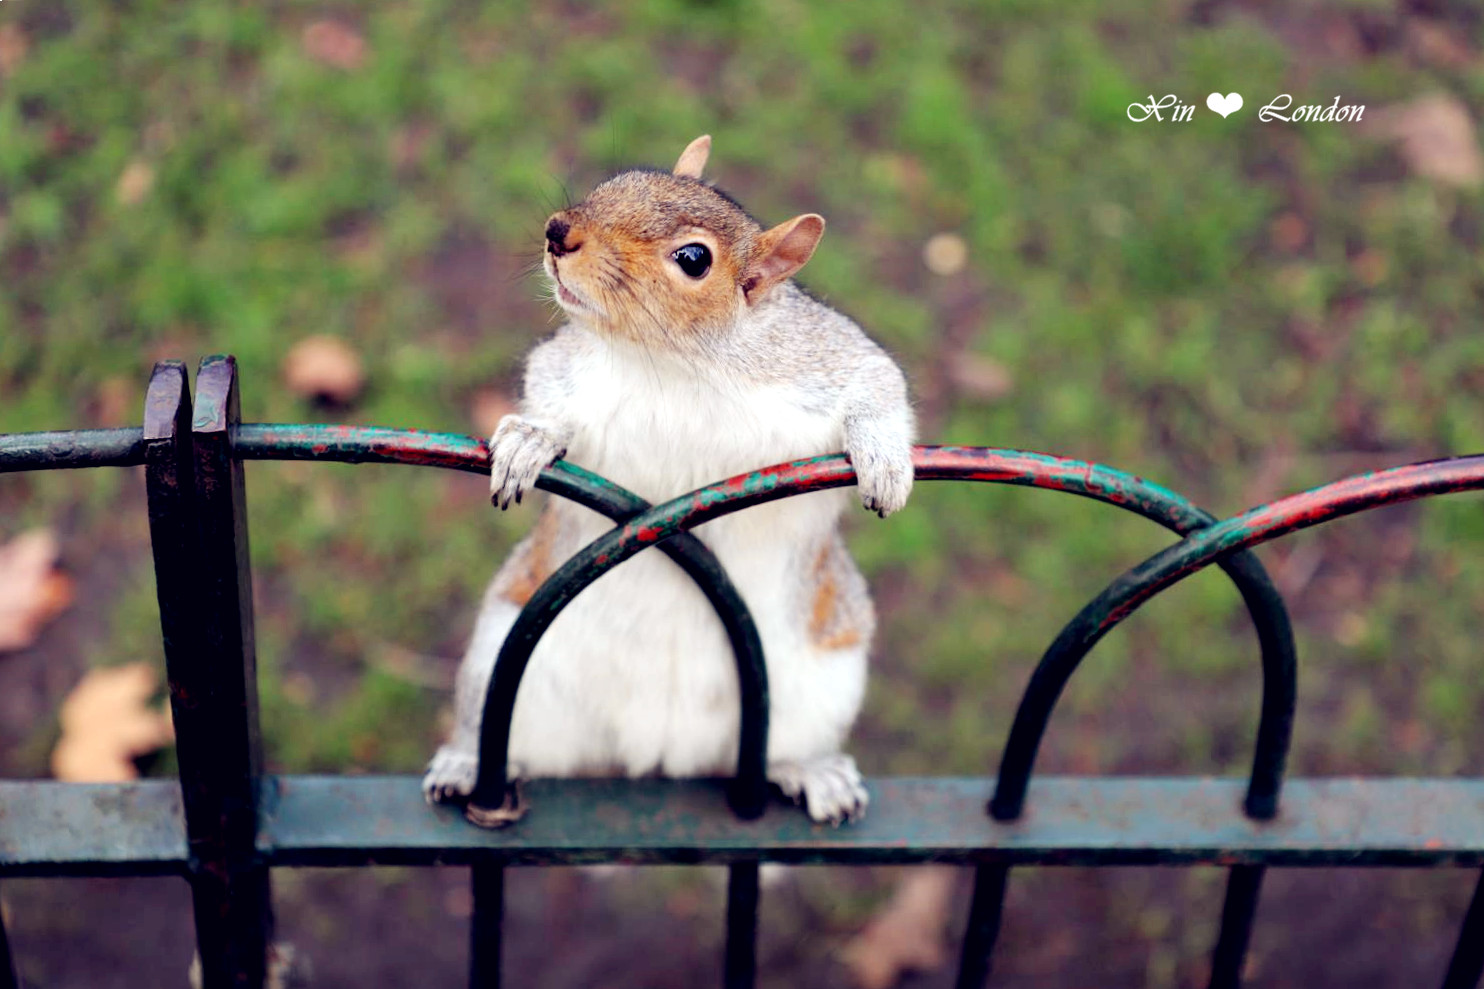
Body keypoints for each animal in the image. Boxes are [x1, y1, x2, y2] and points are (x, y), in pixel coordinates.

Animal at [418, 135, 920, 819]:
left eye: (694, 259)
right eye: (619, 180)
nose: (558, 232)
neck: (673, 361)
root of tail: (656, 753)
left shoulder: (822, 358)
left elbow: (877, 381)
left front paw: (884, 458)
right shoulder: (568, 367)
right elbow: (547, 393)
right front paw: (531, 438)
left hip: (821, 686)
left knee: (781, 752)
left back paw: (812, 771)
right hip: (504, 665)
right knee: (502, 739)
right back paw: (469, 762)